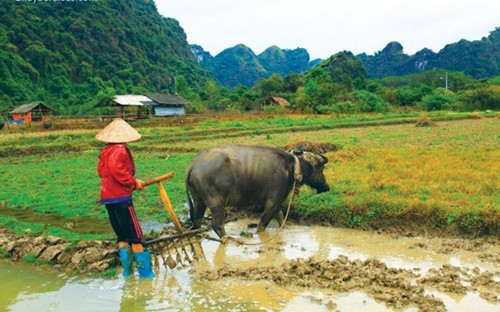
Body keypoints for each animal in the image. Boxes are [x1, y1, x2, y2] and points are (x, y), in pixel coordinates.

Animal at [186, 144, 330, 239]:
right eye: (320, 167)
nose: (327, 187)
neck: (290, 168)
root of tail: (194, 164)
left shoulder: (277, 204)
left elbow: (281, 219)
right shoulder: (272, 202)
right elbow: (262, 225)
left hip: (198, 201)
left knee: (197, 221)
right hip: (216, 203)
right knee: (217, 225)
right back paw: (227, 240)